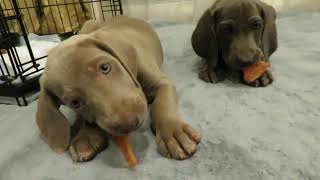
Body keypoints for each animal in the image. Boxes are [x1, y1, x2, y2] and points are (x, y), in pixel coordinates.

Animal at [35, 15, 200, 162]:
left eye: (105, 67)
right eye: (75, 102)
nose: (129, 123)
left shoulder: (163, 83)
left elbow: (162, 105)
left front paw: (173, 132)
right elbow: (86, 118)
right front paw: (85, 137)